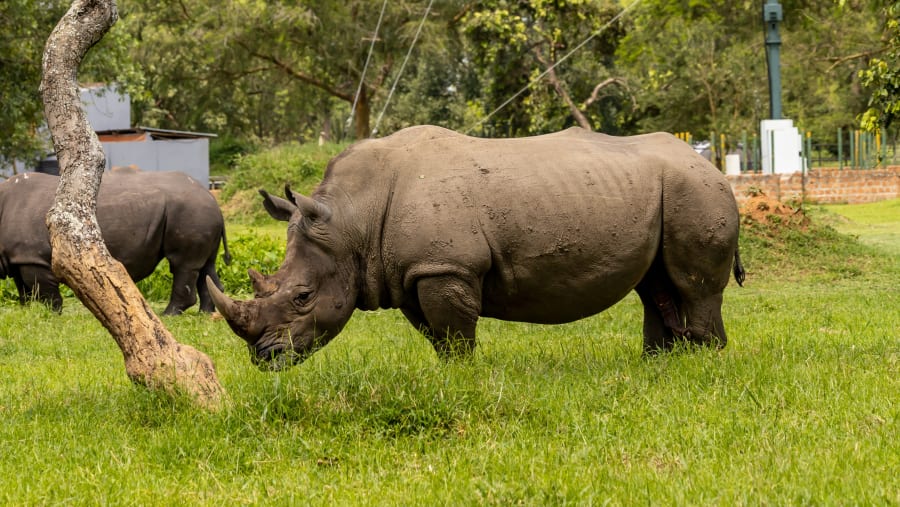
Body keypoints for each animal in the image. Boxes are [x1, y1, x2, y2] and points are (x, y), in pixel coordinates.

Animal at [0, 170, 231, 314]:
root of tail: (212, 197)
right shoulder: (18, 257)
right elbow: (24, 290)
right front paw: (29, 312)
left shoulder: (32, 257)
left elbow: (43, 290)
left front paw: (53, 314)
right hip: (198, 211)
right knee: (205, 266)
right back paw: (206, 314)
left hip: (189, 210)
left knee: (183, 264)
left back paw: (169, 315)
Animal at [208, 126, 745, 369]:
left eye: (302, 297)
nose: (264, 359)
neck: (351, 221)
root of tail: (712, 164)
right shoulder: (412, 271)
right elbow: (438, 335)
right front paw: (449, 374)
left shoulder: (445, 267)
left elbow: (455, 330)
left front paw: (464, 376)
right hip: (671, 190)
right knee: (655, 286)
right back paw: (659, 365)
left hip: (695, 190)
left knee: (693, 287)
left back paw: (704, 365)